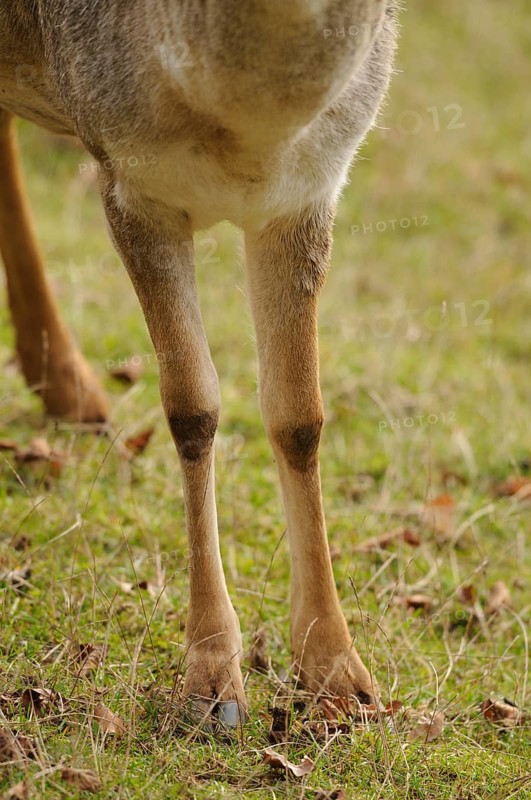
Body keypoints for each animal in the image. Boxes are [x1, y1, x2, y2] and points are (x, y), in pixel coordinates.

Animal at [0, 1, 398, 724]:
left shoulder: (307, 188)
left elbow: (299, 416)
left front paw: (340, 677)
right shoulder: (133, 184)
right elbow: (192, 406)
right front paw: (211, 684)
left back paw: (70, 388)